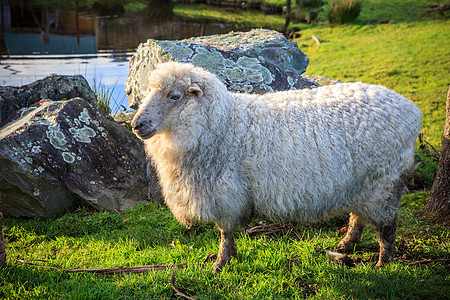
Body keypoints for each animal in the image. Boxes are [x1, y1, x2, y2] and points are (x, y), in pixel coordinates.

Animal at [130, 61, 422, 272]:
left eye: (175, 96)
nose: (136, 125)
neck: (225, 124)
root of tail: (411, 109)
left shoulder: (226, 194)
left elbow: (225, 232)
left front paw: (220, 264)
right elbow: (228, 232)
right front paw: (230, 257)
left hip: (384, 181)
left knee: (387, 225)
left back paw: (384, 262)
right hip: (361, 184)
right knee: (357, 217)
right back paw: (346, 245)